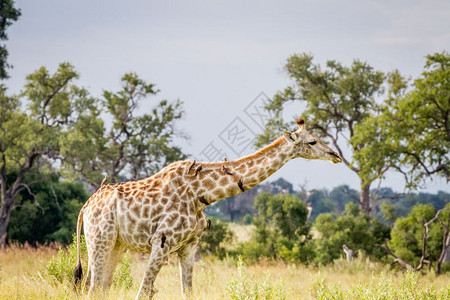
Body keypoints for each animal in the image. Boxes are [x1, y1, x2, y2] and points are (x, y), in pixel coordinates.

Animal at [73, 117, 342, 298]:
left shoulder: (189, 246)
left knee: (101, 288)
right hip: (99, 239)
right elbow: (144, 292)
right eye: (312, 141)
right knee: (92, 288)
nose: (336, 155)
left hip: (116, 244)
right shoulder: (161, 243)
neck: (202, 194)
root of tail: (86, 206)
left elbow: (187, 293)